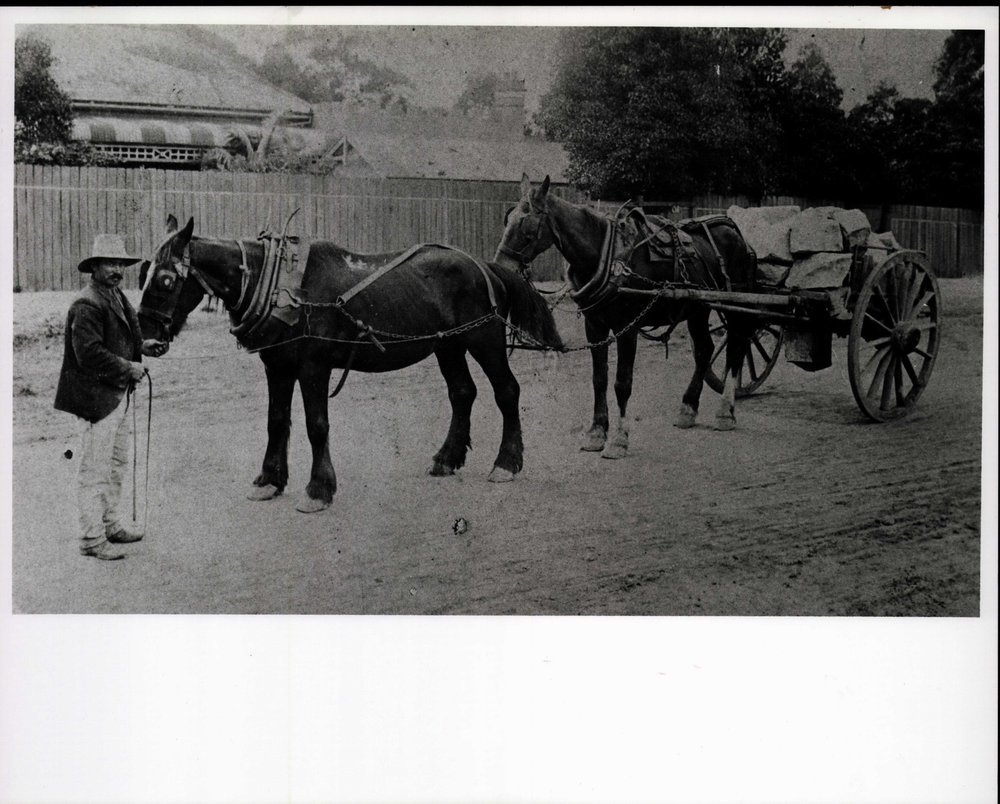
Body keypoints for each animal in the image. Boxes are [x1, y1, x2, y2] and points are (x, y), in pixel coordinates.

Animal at [138, 214, 563, 513]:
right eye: (141, 274)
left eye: (165, 279)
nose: (146, 341)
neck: (281, 286)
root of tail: (485, 266)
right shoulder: (277, 365)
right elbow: (277, 421)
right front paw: (269, 480)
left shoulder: (314, 366)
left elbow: (316, 426)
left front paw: (318, 489)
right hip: (448, 345)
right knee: (462, 393)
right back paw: (447, 458)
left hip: (484, 339)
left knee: (506, 392)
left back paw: (506, 463)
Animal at [493, 174, 757, 458]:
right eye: (508, 218)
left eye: (527, 223)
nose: (501, 268)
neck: (607, 255)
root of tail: (734, 231)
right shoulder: (594, 326)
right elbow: (599, 379)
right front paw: (596, 432)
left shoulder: (627, 327)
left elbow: (622, 382)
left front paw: (619, 439)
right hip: (698, 309)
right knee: (704, 350)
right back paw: (688, 408)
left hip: (732, 306)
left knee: (736, 349)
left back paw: (725, 412)